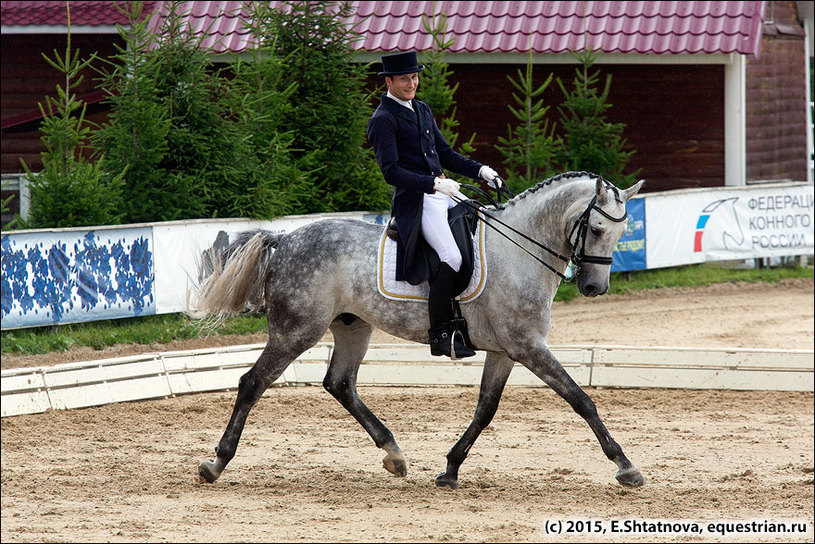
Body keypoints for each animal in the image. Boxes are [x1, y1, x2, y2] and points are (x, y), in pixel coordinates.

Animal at [191, 170, 644, 488]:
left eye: (622, 232)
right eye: (597, 229)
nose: (594, 287)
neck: (519, 251)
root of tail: (284, 239)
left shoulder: (505, 350)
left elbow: (485, 409)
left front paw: (450, 469)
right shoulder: (528, 346)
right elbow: (581, 400)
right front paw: (625, 466)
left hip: (352, 327)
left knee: (340, 383)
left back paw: (394, 454)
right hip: (296, 330)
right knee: (253, 383)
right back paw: (216, 463)